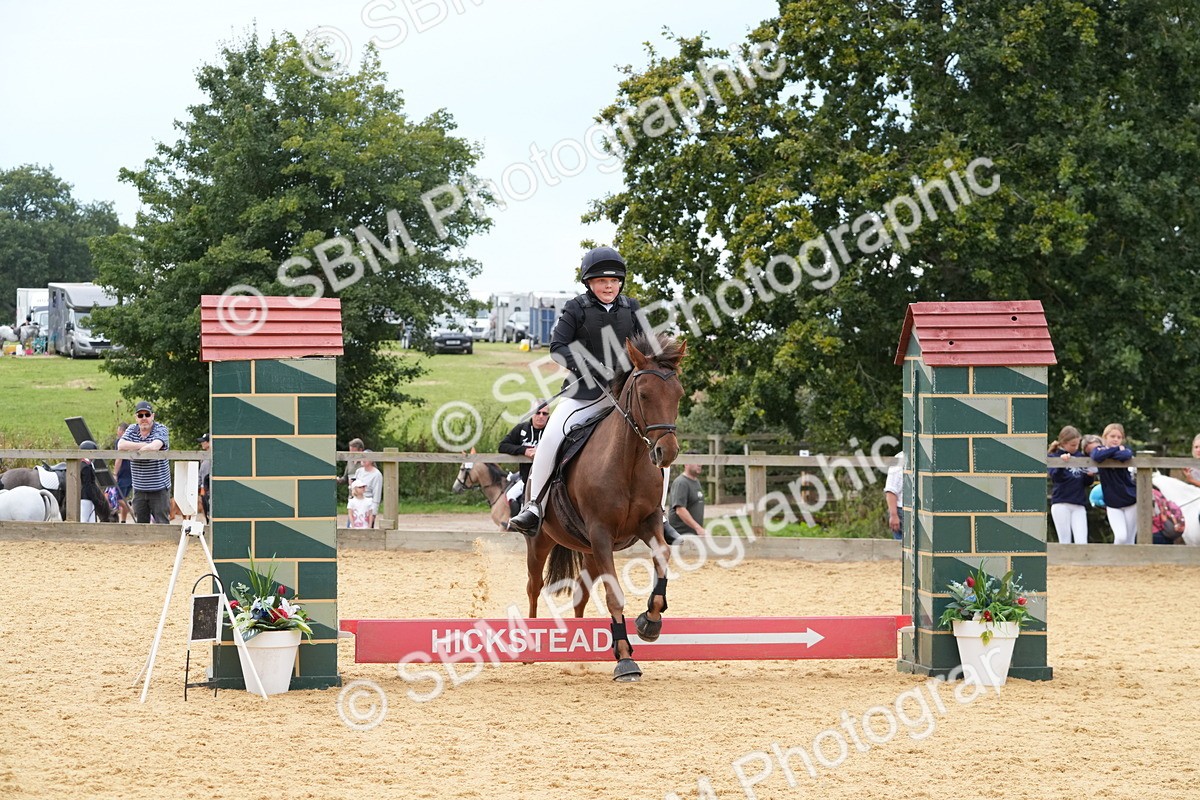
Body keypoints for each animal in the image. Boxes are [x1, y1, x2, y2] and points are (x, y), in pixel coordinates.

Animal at [525, 332, 686, 682]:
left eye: (678, 394)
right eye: (644, 394)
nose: (666, 452)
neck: (628, 460)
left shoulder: (648, 523)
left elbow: (663, 557)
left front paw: (650, 621)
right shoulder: (600, 532)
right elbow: (615, 596)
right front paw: (625, 660)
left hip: (589, 552)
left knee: (579, 596)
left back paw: (578, 654)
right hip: (542, 539)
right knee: (533, 586)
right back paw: (527, 646)